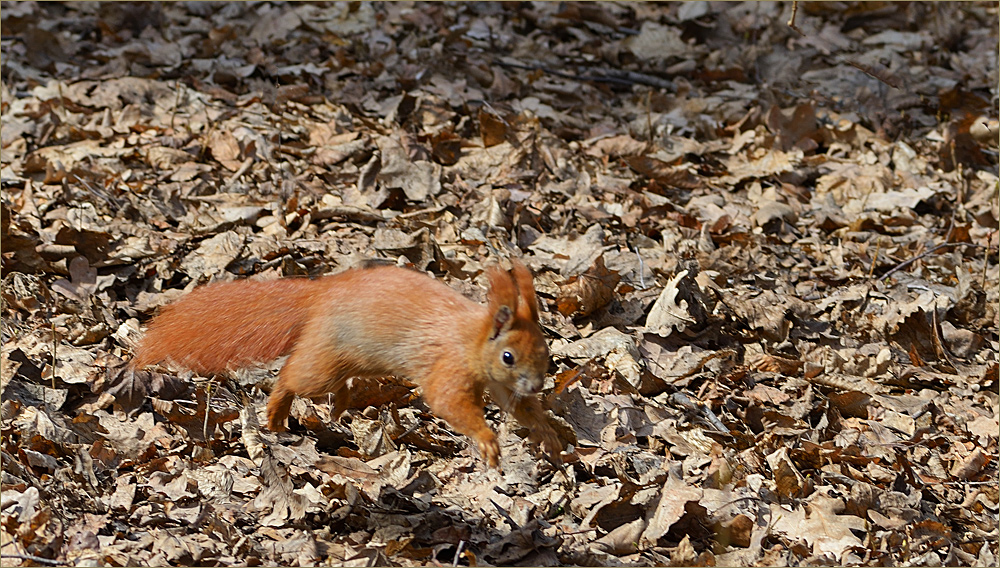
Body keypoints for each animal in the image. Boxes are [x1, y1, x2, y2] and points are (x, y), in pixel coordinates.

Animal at [131, 260, 564, 468]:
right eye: (508, 356)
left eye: (546, 353)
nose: (535, 384)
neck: (472, 338)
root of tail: (322, 293)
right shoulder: (449, 366)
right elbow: (448, 403)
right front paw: (487, 440)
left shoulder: (503, 387)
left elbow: (521, 409)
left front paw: (548, 433)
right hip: (321, 365)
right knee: (290, 376)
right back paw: (275, 414)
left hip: (349, 360)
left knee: (334, 381)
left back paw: (339, 404)